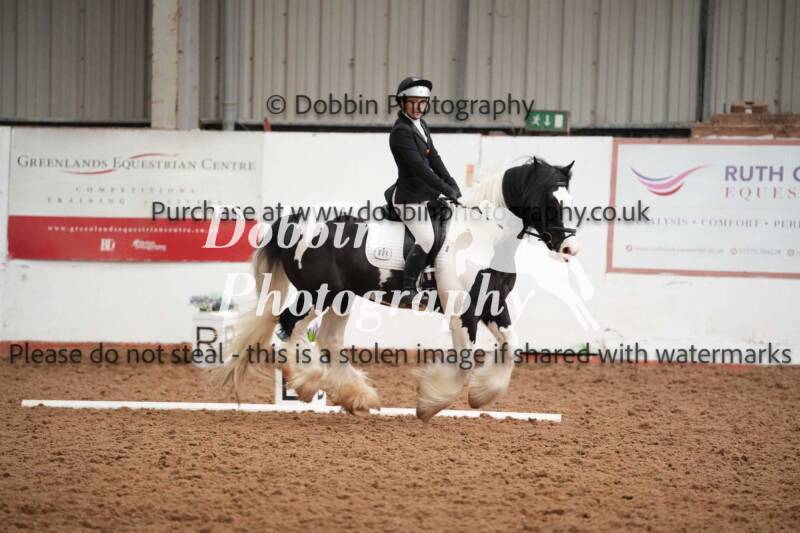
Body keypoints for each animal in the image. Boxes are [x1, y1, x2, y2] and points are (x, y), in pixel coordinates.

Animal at [213, 157, 578, 421]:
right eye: (550, 199)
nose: (569, 248)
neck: (484, 235)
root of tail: (294, 221)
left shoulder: (491, 305)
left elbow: (511, 347)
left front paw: (481, 395)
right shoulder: (463, 311)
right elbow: (464, 362)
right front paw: (430, 403)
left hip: (342, 297)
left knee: (328, 339)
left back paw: (356, 397)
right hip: (319, 294)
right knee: (290, 328)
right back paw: (306, 382)